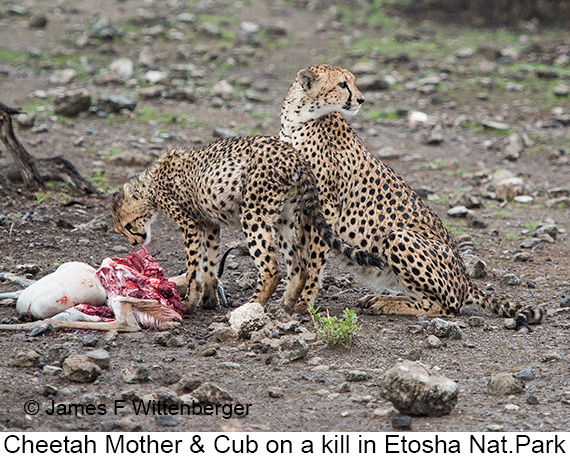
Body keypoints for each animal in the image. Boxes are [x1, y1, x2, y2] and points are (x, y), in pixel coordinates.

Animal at [111, 135, 382, 312]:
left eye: (126, 226)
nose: (134, 242)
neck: (149, 187)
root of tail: (294, 154)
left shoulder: (190, 224)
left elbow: (193, 267)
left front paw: (188, 302)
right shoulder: (209, 224)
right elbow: (209, 264)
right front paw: (208, 300)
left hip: (253, 214)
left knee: (272, 270)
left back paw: (251, 306)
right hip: (283, 219)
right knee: (298, 265)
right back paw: (285, 305)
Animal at [278, 64, 544, 328]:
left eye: (352, 82)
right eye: (342, 84)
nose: (362, 99)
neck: (297, 118)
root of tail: (466, 279)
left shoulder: (326, 207)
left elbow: (314, 259)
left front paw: (304, 302)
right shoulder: (300, 205)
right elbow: (299, 256)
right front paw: (289, 298)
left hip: (398, 237)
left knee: (445, 306)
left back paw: (386, 303)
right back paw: (380, 299)